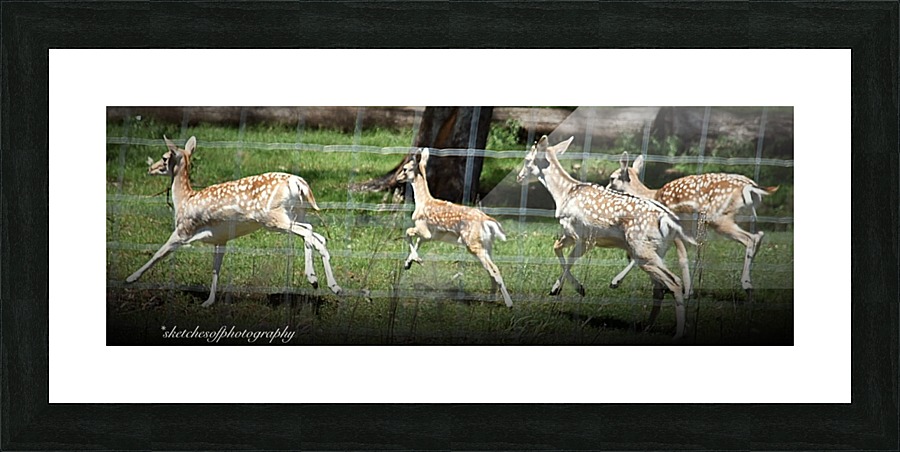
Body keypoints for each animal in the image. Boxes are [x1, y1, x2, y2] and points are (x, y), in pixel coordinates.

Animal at [125, 136, 342, 307]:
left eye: (165, 157)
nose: (151, 168)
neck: (184, 200)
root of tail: (299, 182)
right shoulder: (220, 240)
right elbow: (216, 269)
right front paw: (208, 302)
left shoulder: (183, 230)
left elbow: (159, 253)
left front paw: (130, 278)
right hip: (297, 212)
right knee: (318, 236)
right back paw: (332, 286)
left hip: (273, 217)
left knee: (308, 232)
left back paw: (314, 278)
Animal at [396, 148, 513, 308]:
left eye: (405, 168)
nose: (397, 178)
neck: (423, 202)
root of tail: (488, 221)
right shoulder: (433, 235)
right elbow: (418, 242)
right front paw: (409, 263)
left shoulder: (424, 230)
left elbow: (408, 233)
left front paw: (418, 260)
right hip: (486, 245)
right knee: (490, 270)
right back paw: (491, 300)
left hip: (473, 243)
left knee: (494, 269)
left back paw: (509, 303)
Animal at [517, 135, 695, 339]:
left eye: (527, 160)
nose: (519, 177)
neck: (564, 194)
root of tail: (669, 221)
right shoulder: (577, 236)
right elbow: (560, 251)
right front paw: (557, 289)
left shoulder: (581, 235)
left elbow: (563, 254)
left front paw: (576, 288)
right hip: (657, 249)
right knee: (659, 290)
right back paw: (648, 327)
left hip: (642, 249)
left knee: (674, 282)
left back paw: (677, 333)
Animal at [607, 152, 778, 301]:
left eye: (612, 178)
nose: (606, 188)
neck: (651, 195)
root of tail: (751, 187)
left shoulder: (675, 229)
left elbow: (681, 258)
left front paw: (687, 293)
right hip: (743, 217)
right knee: (760, 234)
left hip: (718, 218)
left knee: (751, 238)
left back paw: (746, 284)